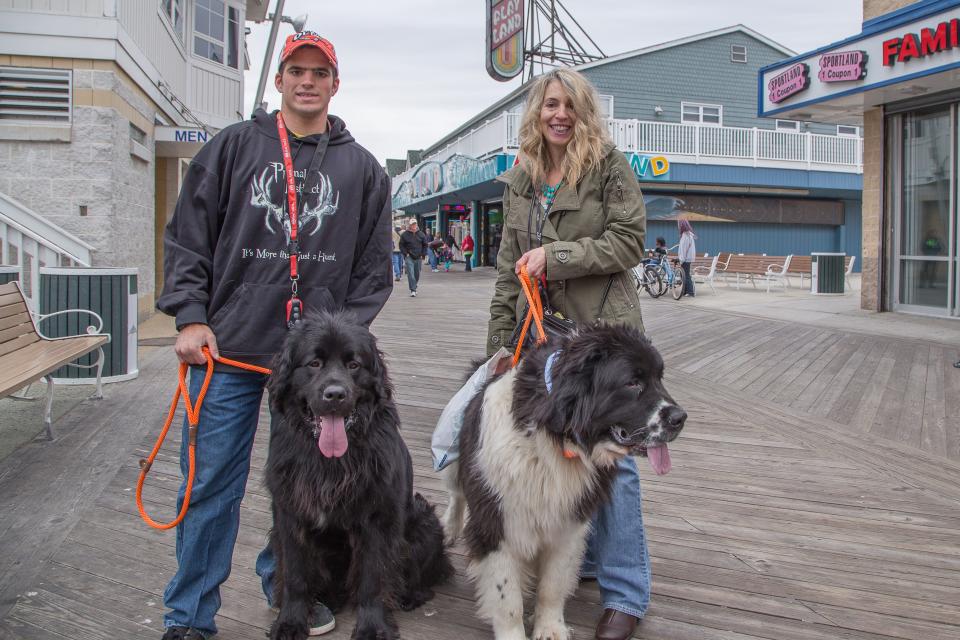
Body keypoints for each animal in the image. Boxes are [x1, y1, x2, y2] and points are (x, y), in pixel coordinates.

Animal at [266, 314, 454, 640]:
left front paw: (373, 627)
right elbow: (295, 573)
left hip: (424, 521)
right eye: (314, 363)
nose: (335, 394)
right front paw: (290, 622)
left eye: (354, 364)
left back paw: (408, 596)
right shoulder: (289, 513)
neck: (330, 462)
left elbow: (372, 577)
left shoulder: (377, 517)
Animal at [446, 324, 688, 640]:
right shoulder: (496, 521)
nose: (680, 418)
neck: (554, 441)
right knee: (456, 494)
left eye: (659, 378)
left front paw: (550, 628)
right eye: (633, 383)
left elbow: (552, 585)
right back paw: (450, 528)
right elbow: (507, 597)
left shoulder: (568, 522)